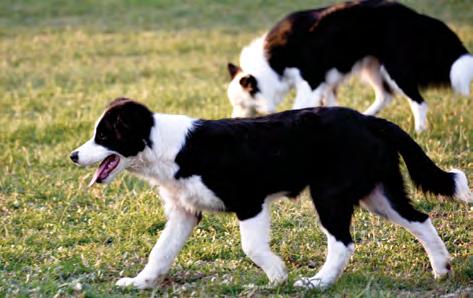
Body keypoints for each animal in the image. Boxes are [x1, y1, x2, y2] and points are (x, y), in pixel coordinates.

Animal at [69, 99, 468, 290]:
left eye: (103, 136)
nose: (73, 155)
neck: (168, 147)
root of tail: (370, 120)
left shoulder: (250, 201)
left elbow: (252, 247)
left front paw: (278, 278)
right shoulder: (184, 211)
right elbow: (160, 252)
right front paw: (139, 283)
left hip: (330, 193)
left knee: (343, 242)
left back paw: (317, 283)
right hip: (379, 193)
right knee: (420, 219)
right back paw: (442, 270)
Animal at [227, 0, 470, 131]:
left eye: (241, 104)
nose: (232, 119)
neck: (273, 61)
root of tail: (414, 15)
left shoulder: (312, 80)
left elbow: (300, 105)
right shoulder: (326, 83)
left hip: (395, 68)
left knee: (419, 101)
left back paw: (419, 130)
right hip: (372, 67)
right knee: (385, 95)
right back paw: (368, 116)